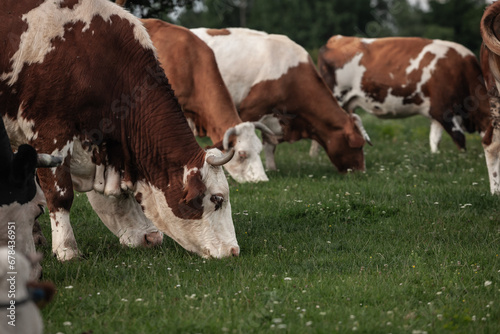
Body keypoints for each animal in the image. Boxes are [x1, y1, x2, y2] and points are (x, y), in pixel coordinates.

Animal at [316, 34, 492, 155]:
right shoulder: (443, 110)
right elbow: (460, 139)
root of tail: (336, 39)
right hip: (334, 97)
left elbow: (435, 140)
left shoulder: (437, 114)